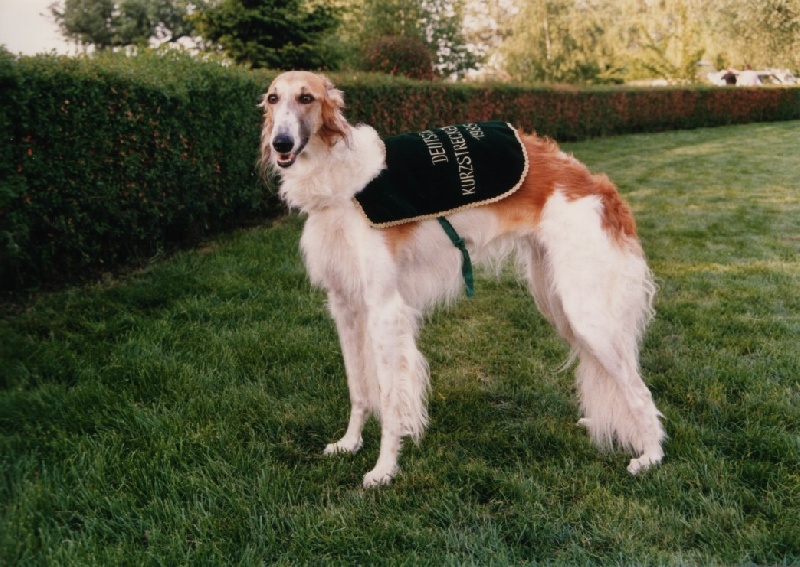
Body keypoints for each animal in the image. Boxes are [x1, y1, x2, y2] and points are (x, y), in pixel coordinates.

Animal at [259, 71, 665, 487]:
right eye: (273, 98)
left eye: (306, 97)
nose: (281, 143)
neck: (339, 182)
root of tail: (598, 186)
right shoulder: (344, 305)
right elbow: (358, 389)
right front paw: (349, 443)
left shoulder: (384, 307)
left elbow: (389, 398)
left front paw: (384, 469)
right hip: (559, 302)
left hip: (588, 312)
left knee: (639, 390)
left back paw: (651, 456)